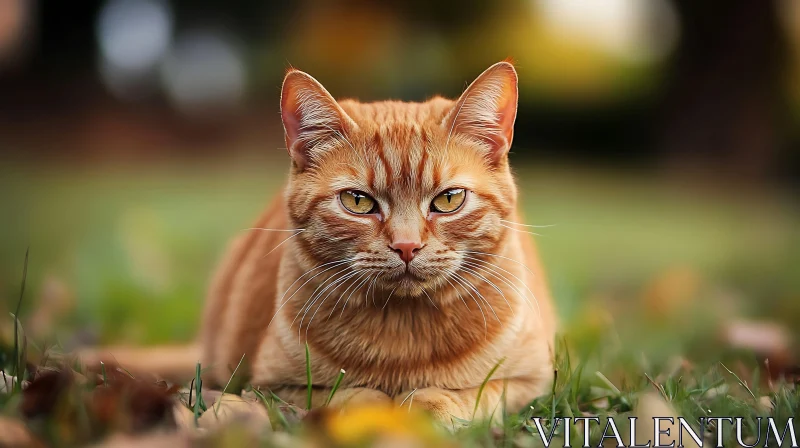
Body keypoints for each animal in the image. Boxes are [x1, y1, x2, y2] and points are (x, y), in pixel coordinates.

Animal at [84, 61, 556, 422]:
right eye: (358, 201)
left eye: (449, 199)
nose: (406, 247)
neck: (402, 335)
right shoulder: (271, 385)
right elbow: (347, 395)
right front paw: (379, 406)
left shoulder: (533, 381)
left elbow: (473, 394)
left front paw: (429, 405)